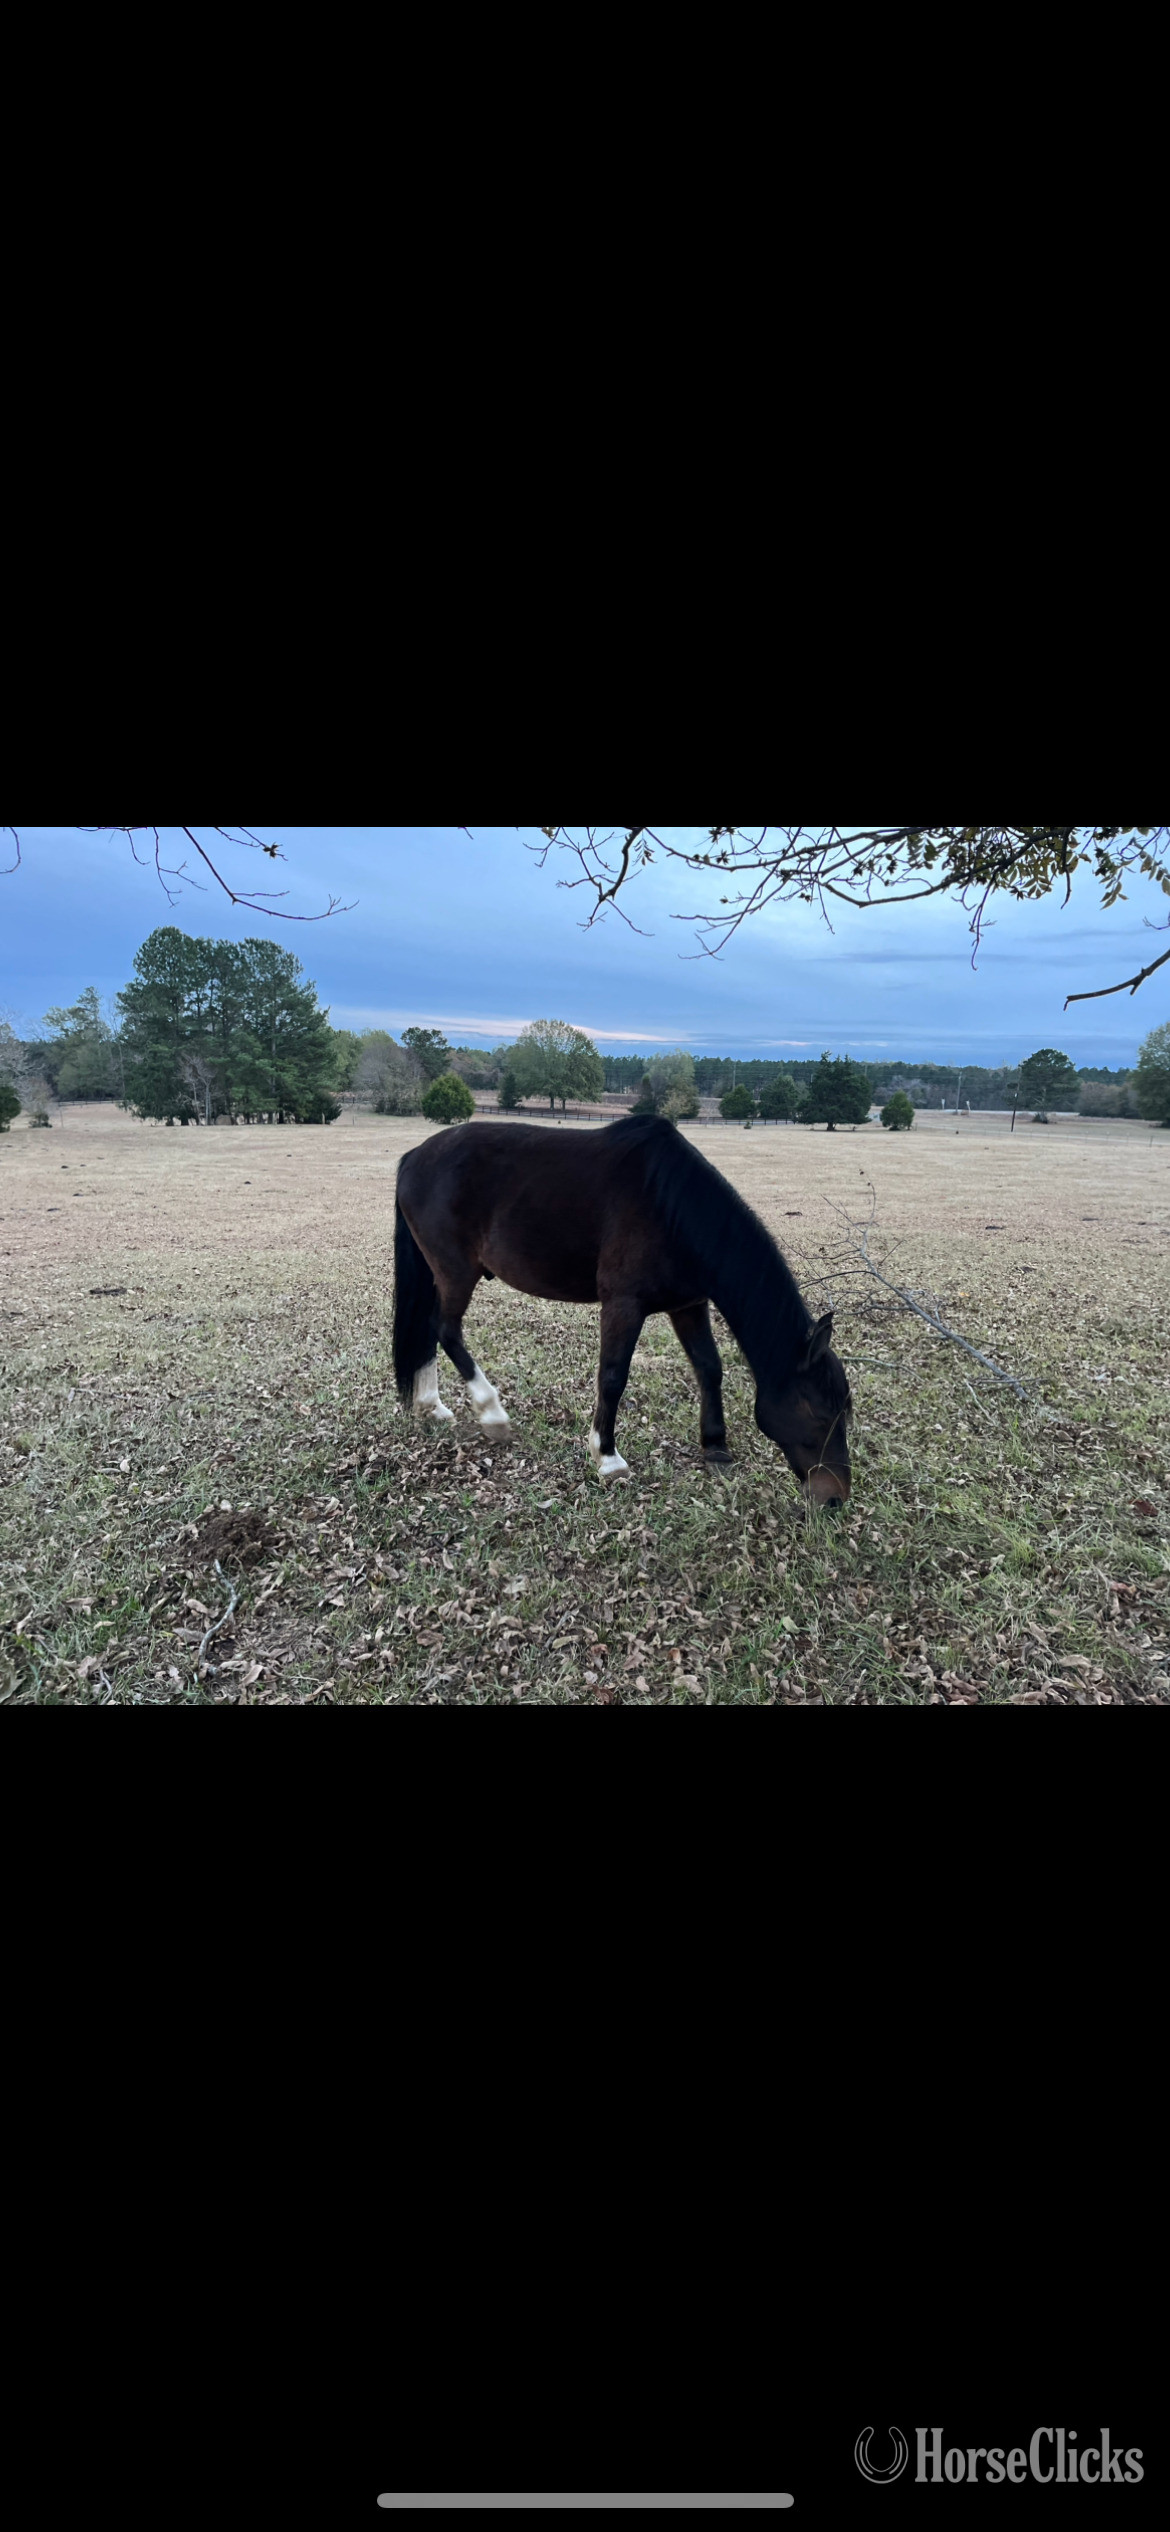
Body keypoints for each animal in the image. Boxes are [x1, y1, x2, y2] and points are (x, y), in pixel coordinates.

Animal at [392, 1115, 853, 1504]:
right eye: (820, 1413)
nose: (834, 1496)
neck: (673, 1210)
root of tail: (414, 1157)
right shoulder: (623, 1306)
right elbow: (613, 1378)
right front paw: (608, 1457)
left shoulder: (689, 1305)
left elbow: (710, 1368)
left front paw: (716, 1447)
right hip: (456, 1271)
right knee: (446, 1329)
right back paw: (491, 1414)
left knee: (429, 1331)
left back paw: (432, 1405)